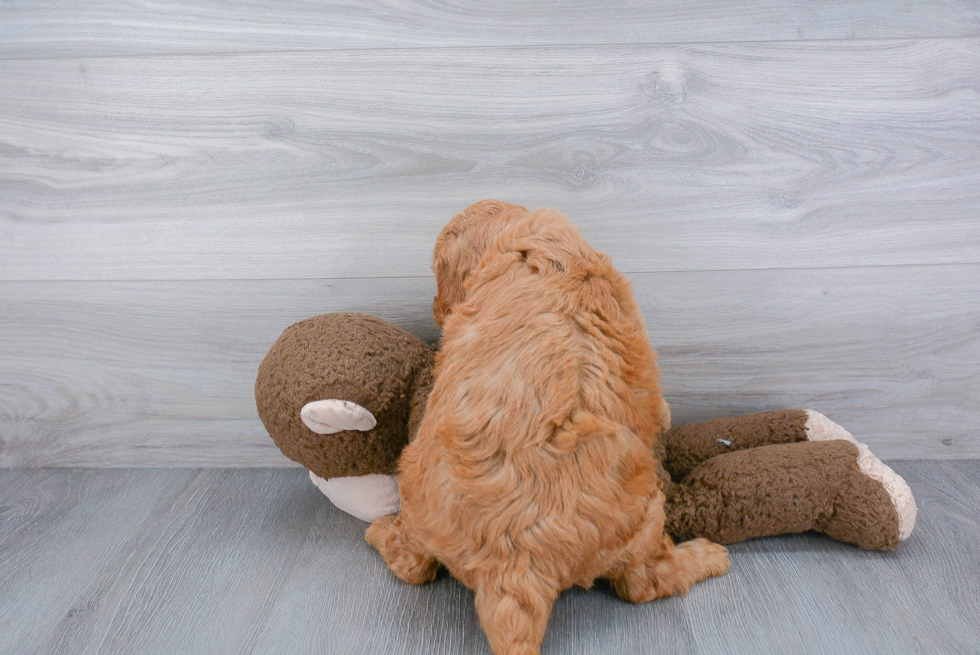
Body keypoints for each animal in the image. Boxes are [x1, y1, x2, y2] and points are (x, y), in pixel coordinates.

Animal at [368, 200, 728, 655]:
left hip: (416, 486)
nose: (436, 306)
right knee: (643, 583)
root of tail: (514, 568)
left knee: (413, 564)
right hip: (643, 514)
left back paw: (380, 531)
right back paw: (708, 556)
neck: (523, 241)